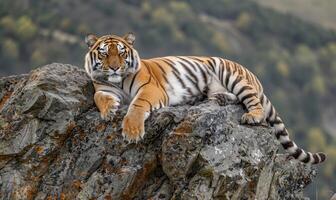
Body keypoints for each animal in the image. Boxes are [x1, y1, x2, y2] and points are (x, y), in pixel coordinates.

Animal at [83, 32, 326, 164]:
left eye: (121, 52)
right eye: (104, 53)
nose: (115, 67)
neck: (117, 81)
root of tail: (253, 76)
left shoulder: (150, 89)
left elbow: (137, 105)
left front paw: (132, 131)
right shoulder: (103, 88)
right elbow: (99, 98)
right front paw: (109, 110)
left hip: (231, 75)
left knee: (253, 102)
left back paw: (252, 116)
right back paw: (221, 99)